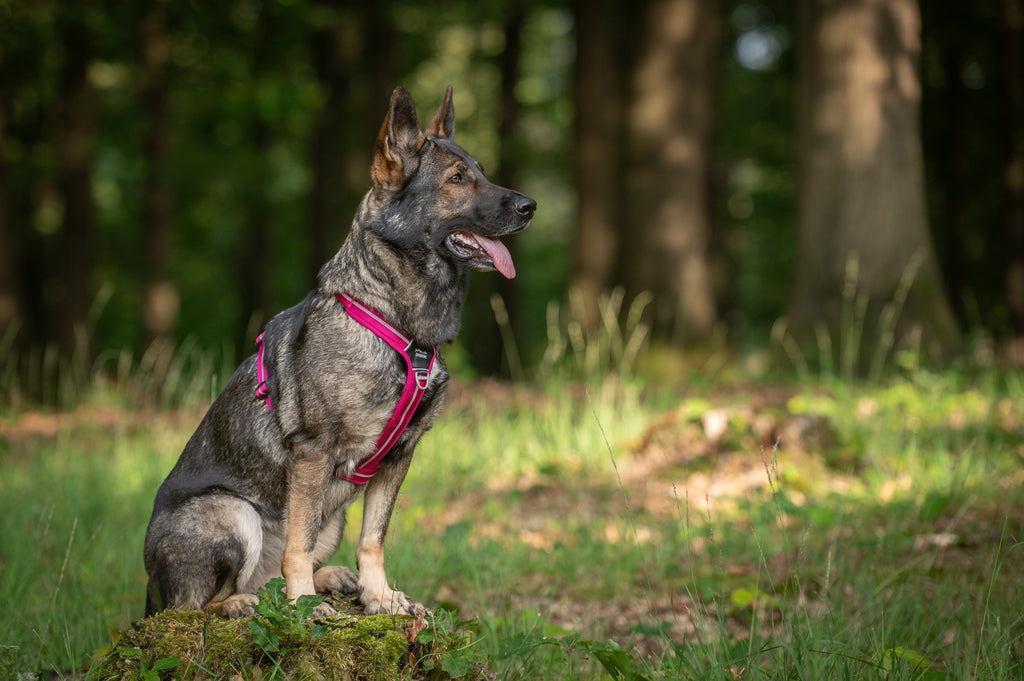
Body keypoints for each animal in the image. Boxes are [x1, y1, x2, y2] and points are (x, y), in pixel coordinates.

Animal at [145, 87, 540, 618]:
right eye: (458, 179)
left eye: (482, 170)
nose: (529, 206)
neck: (397, 322)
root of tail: (150, 587)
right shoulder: (313, 454)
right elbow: (296, 546)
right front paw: (304, 607)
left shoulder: (399, 456)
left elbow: (373, 539)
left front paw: (380, 596)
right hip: (231, 512)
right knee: (196, 604)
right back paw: (245, 603)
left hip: (330, 516)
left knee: (274, 572)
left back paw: (323, 579)